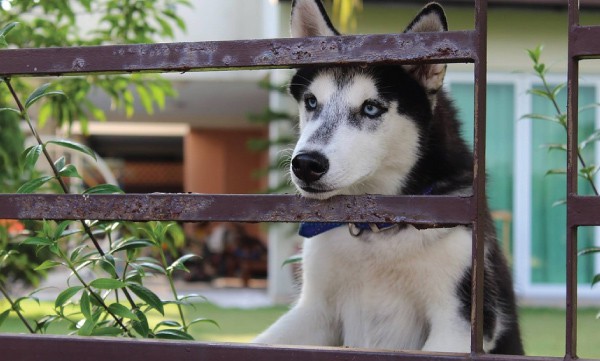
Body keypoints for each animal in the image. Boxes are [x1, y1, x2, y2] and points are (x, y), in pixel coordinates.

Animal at [255, 0, 524, 354]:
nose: (306, 164)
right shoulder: (314, 311)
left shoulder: (458, 322)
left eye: (371, 108)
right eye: (312, 102)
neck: (376, 229)